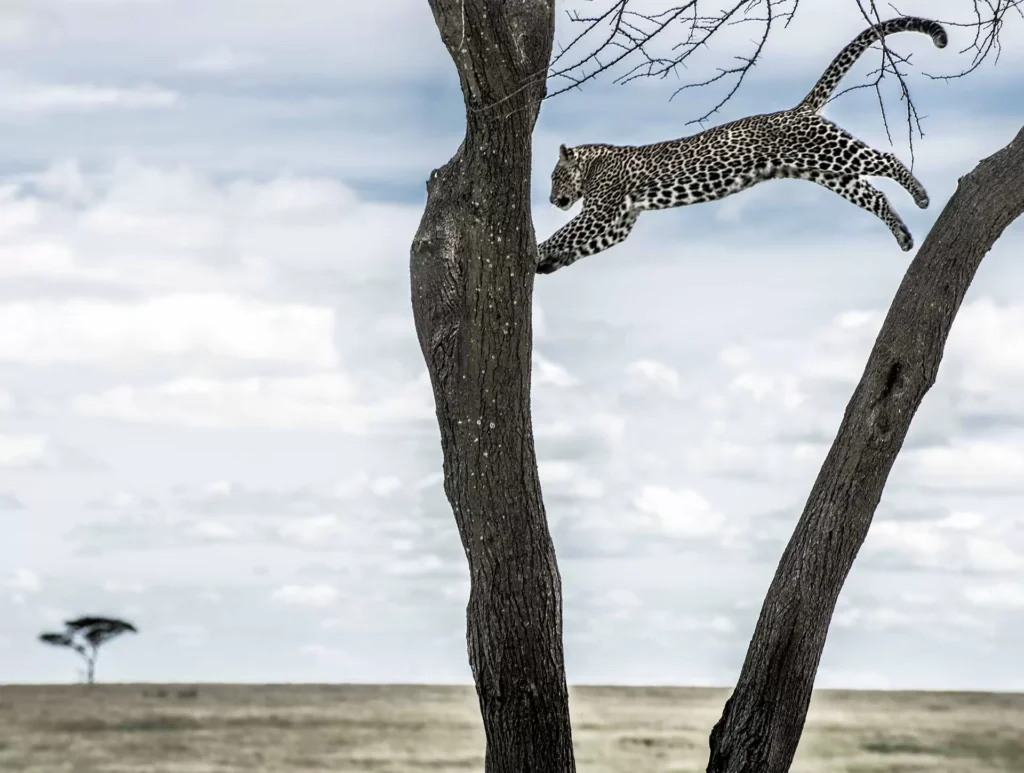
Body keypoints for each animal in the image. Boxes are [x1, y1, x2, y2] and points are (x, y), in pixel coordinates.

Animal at [536, 16, 948, 275]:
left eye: (556, 177)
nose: (552, 200)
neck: (592, 164)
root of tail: (799, 109)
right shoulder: (620, 222)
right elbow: (579, 245)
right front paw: (546, 264)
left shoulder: (601, 212)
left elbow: (564, 233)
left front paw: (536, 251)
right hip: (826, 172)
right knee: (873, 195)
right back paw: (904, 236)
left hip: (830, 150)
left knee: (886, 158)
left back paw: (921, 195)